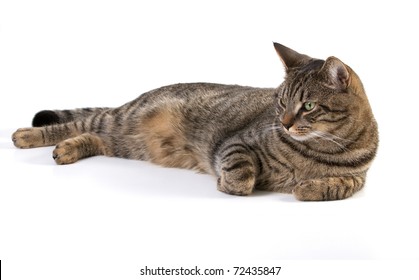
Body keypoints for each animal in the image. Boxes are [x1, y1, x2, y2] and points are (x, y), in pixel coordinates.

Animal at [11, 43, 378, 201]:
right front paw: (230, 183)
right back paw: (27, 135)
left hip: (126, 142)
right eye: (281, 102)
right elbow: (241, 174)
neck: (320, 150)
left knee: (95, 138)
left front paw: (310, 187)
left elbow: (341, 185)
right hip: (122, 119)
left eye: (309, 106)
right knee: (78, 124)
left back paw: (67, 150)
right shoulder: (236, 143)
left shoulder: (360, 178)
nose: (285, 124)